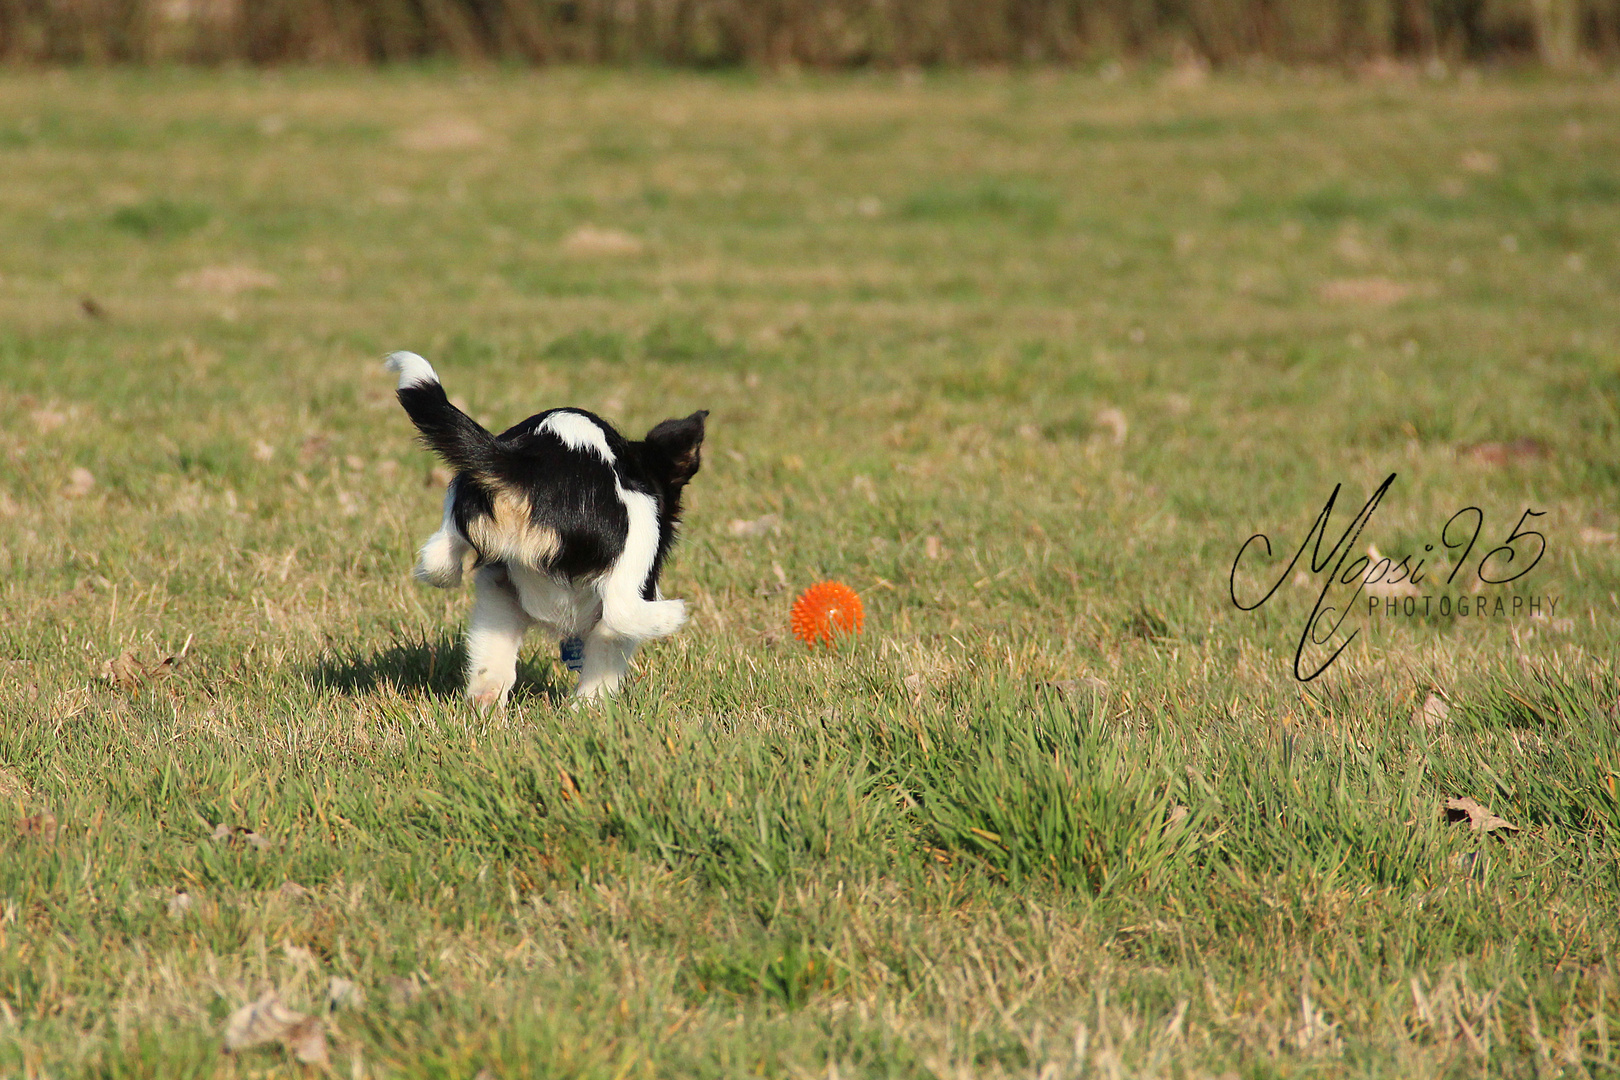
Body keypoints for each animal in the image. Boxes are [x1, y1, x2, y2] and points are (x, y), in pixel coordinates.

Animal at [385, 351, 709, 705]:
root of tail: (533, 464)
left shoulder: (499, 588)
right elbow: (606, 656)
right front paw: (591, 708)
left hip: (463, 500)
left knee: (438, 559)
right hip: (637, 539)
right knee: (622, 609)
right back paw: (671, 615)